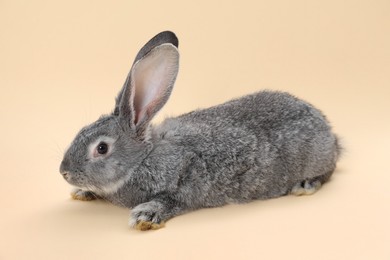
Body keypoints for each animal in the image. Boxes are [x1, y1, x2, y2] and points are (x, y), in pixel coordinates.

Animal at [60, 31, 342, 232]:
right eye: (81, 130)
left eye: (102, 148)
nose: (64, 172)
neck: (142, 159)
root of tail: (331, 136)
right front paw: (83, 193)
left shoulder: (186, 178)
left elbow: (173, 200)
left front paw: (146, 215)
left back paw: (305, 185)